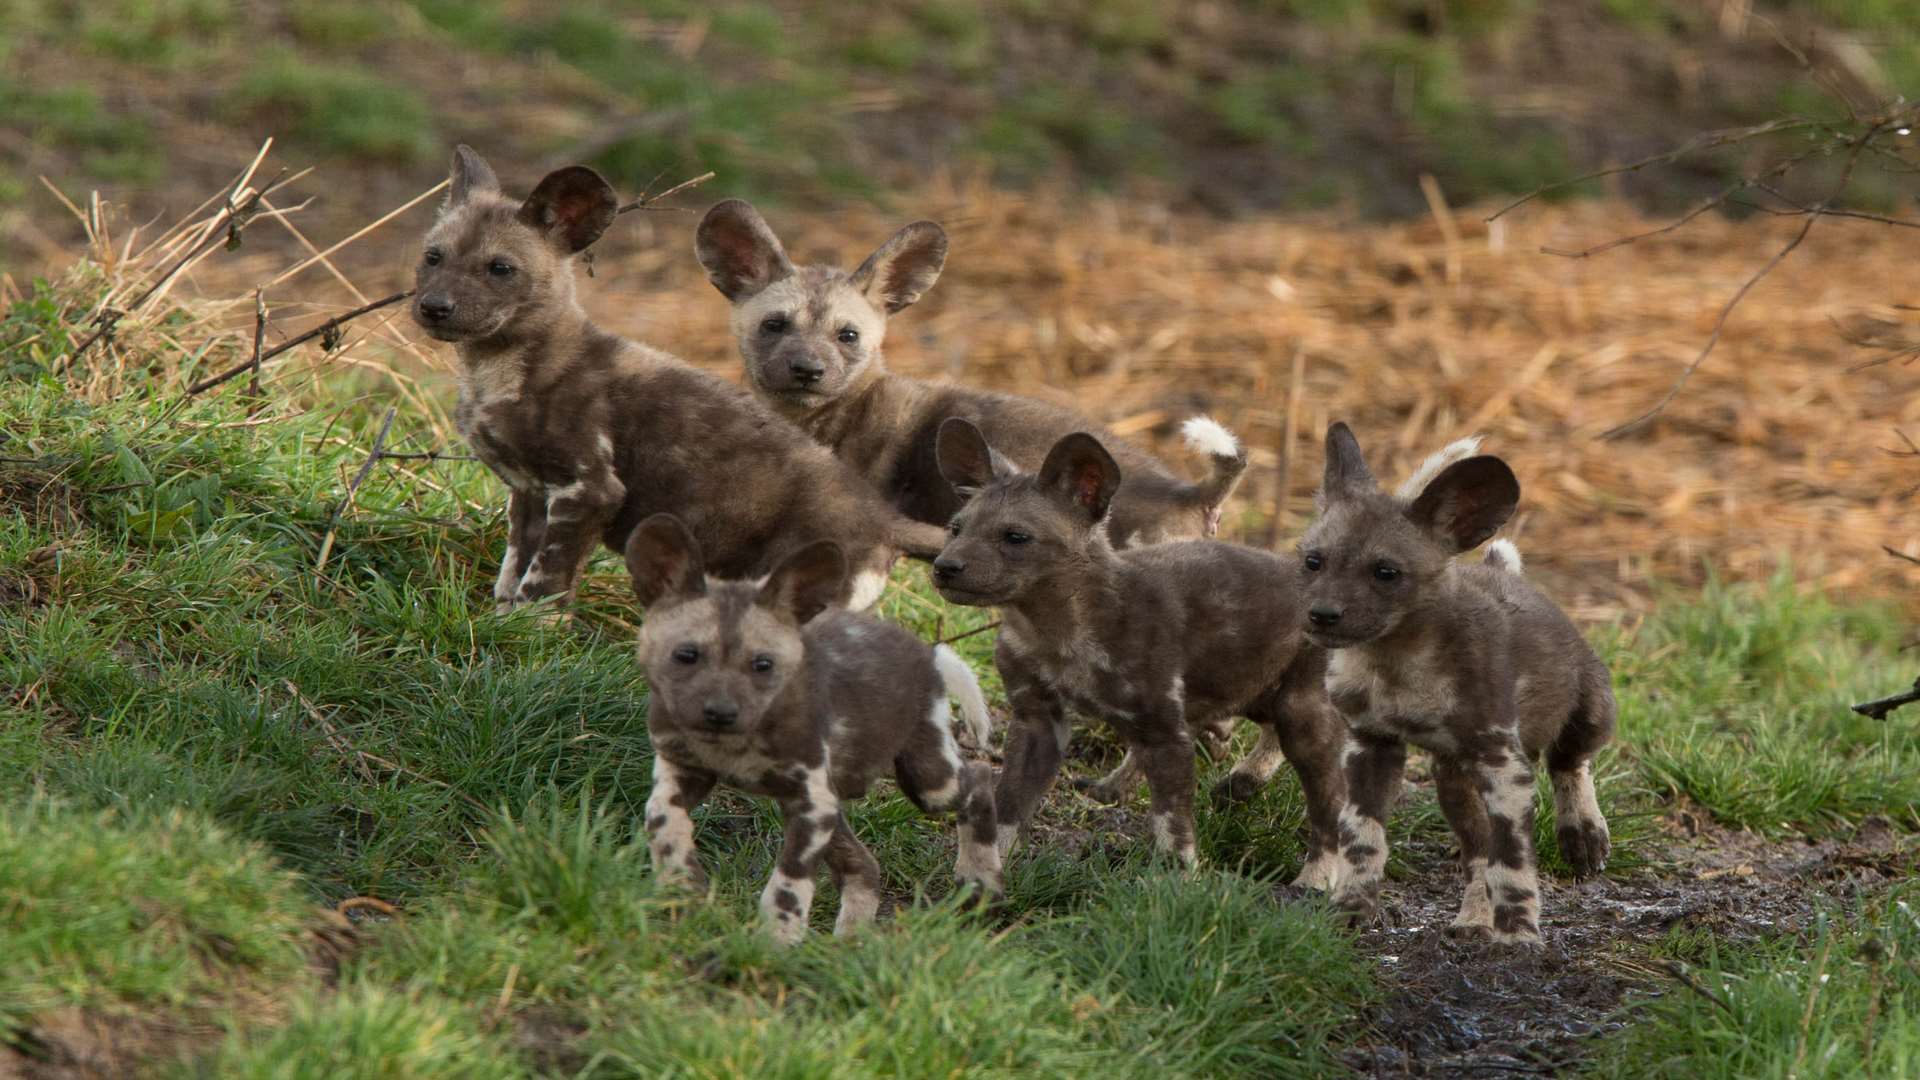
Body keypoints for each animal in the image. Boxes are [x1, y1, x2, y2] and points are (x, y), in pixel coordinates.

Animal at [408, 147, 948, 611]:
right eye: (433, 257)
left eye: (500, 268)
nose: (434, 307)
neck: (494, 373)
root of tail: (882, 519)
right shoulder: (529, 493)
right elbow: (511, 576)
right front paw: (501, 626)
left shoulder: (590, 489)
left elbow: (543, 586)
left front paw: (535, 637)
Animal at [625, 511, 1006, 941]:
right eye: (686, 655)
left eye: (763, 665)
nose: (720, 713)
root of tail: (927, 650)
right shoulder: (685, 768)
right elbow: (661, 818)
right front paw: (682, 884)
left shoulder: (810, 805)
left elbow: (788, 884)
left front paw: (776, 941)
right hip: (841, 803)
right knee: (865, 867)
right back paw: (849, 942)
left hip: (928, 781)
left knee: (978, 779)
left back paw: (981, 882)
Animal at [929, 417, 1351, 880]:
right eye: (956, 528)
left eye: (1016, 537)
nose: (944, 567)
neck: (1058, 633)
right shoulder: (1038, 722)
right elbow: (1007, 809)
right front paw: (977, 878)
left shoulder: (1166, 732)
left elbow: (1174, 829)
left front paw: (1178, 883)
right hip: (1248, 686)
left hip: (1301, 706)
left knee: (1329, 802)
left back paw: (1314, 880)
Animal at [1305, 422, 1620, 941]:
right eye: (1313, 561)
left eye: (1386, 572)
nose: (1322, 615)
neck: (1398, 664)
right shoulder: (1371, 745)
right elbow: (1362, 840)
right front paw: (1351, 909)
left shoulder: (1503, 763)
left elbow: (1512, 861)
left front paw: (1518, 937)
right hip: (1452, 778)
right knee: (1477, 851)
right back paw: (1474, 917)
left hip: (1591, 710)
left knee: (1571, 763)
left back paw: (1582, 833)